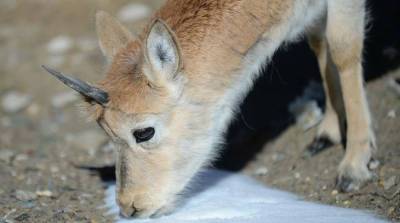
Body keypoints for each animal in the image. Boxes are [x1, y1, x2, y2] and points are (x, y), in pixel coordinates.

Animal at [43, 0, 376, 218]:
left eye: (144, 132)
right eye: (106, 133)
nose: (129, 206)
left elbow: (343, 47)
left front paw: (355, 166)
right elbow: (319, 41)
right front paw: (328, 133)